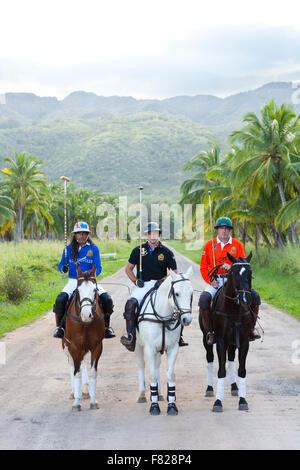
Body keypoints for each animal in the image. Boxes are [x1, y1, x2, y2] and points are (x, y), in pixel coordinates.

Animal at [61, 264, 105, 412]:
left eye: (94, 290)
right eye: (78, 291)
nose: (86, 315)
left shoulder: (97, 346)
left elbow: (93, 372)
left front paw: (93, 401)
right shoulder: (74, 346)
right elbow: (76, 373)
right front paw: (76, 402)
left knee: (82, 363)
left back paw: (85, 391)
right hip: (66, 344)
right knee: (72, 364)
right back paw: (74, 392)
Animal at [135, 268, 193, 414]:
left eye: (191, 293)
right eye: (176, 293)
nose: (187, 320)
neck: (163, 317)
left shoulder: (172, 348)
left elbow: (170, 374)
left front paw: (171, 405)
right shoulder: (149, 348)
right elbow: (152, 375)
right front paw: (154, 406)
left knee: (156, 366)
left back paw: (159, 394)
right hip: (138, 346)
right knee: (142, 365)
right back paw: (143, 395)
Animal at [211, 253, 253, 412]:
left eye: (250, 274)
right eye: (234, 274)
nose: (246, 299)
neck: (234, 309)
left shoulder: (244, 341)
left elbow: (241, 370)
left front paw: (243, 400)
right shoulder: (221, 341)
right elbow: (221, 370)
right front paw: (218, 402)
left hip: (233, 342)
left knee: (231, 359)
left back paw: (235, 387)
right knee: (209, 358)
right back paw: (209, 389)